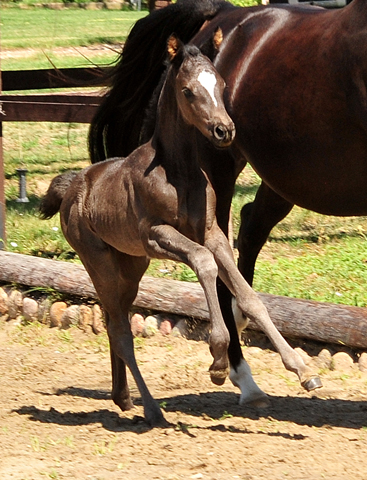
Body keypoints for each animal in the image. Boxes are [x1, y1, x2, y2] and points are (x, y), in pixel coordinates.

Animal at [88, 0, 367, 404]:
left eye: (219, 86)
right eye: (190, 91)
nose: (225, 126)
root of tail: (222, 13)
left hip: (284, 177)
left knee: (248, 232)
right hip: (223, 176)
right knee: (226, 263)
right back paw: (240, 374)